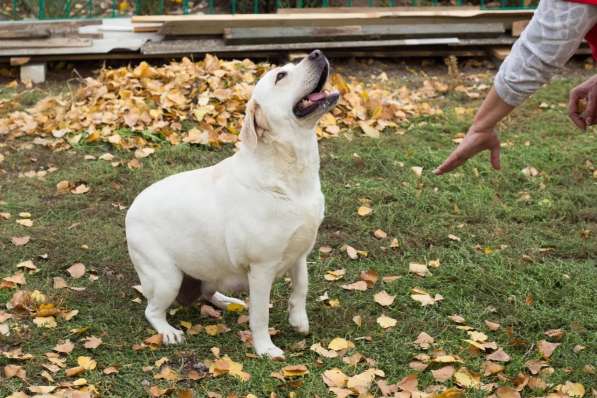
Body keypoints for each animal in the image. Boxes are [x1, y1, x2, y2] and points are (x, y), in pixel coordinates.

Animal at [124, 49, 340, 358]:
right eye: (281, 76)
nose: (317, 52)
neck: (290, 174)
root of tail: (130, 210)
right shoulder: (261, 268)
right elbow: (261, 315)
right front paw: (265, 348)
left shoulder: (300, 254)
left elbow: (301, 288)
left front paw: (299, 321)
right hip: (166, 277)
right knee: (152, 311)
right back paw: (168, 331)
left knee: (207, 293)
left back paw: (228, 301)